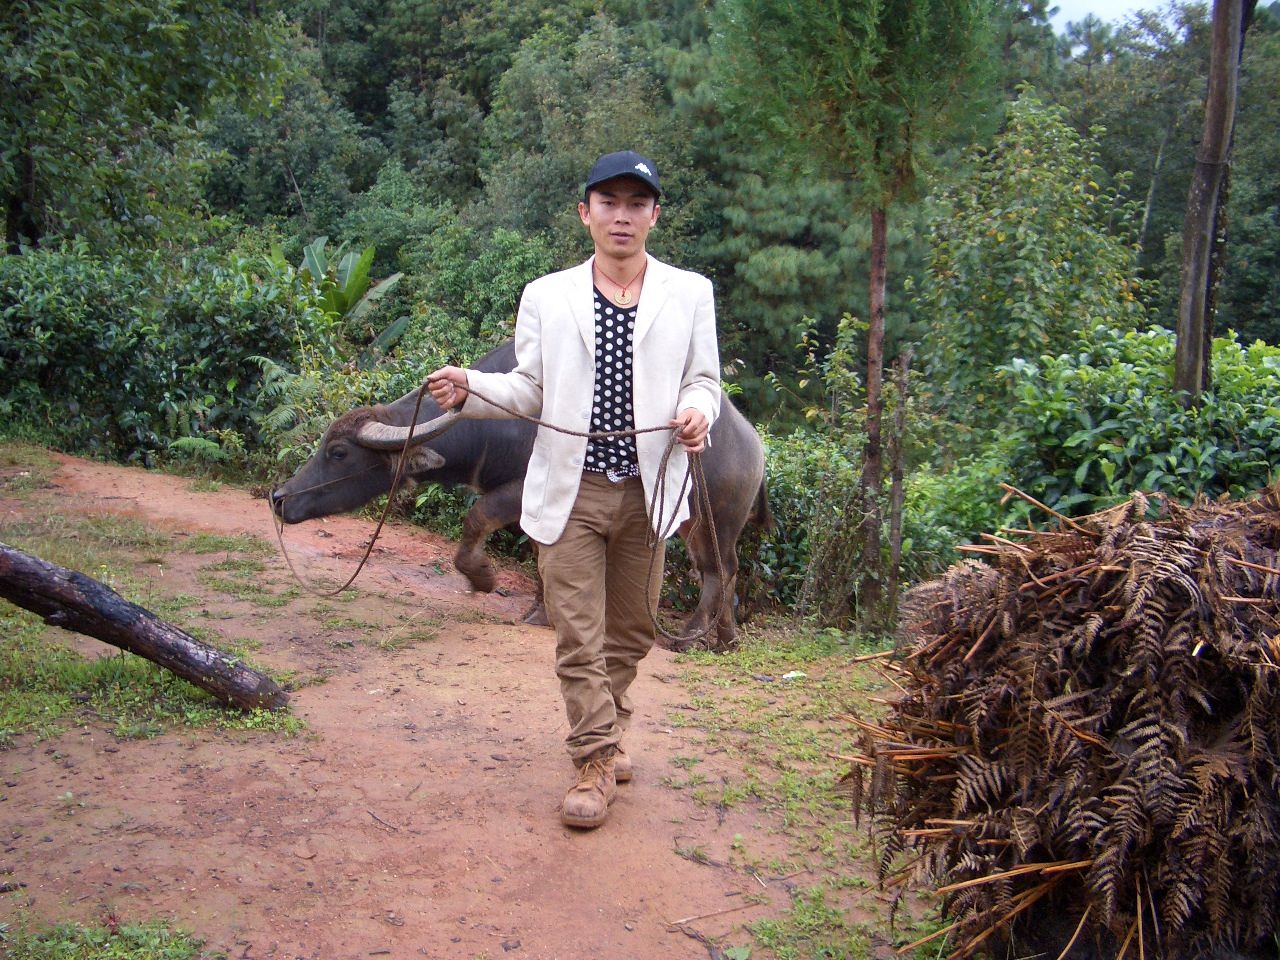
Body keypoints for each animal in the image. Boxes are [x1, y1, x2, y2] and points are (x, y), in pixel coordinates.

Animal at [270, 343, 768, 650]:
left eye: (338, 452)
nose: (279, 497)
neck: (497, 426)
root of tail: (755, 445)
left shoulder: (521, 492)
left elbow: (477, 518)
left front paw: (483, 578)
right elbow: (543, 556)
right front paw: (542, 610)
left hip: (717, 519)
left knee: (720, 570)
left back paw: (692, 634)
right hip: (693, 522)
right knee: (723, 570)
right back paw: (725, 638)